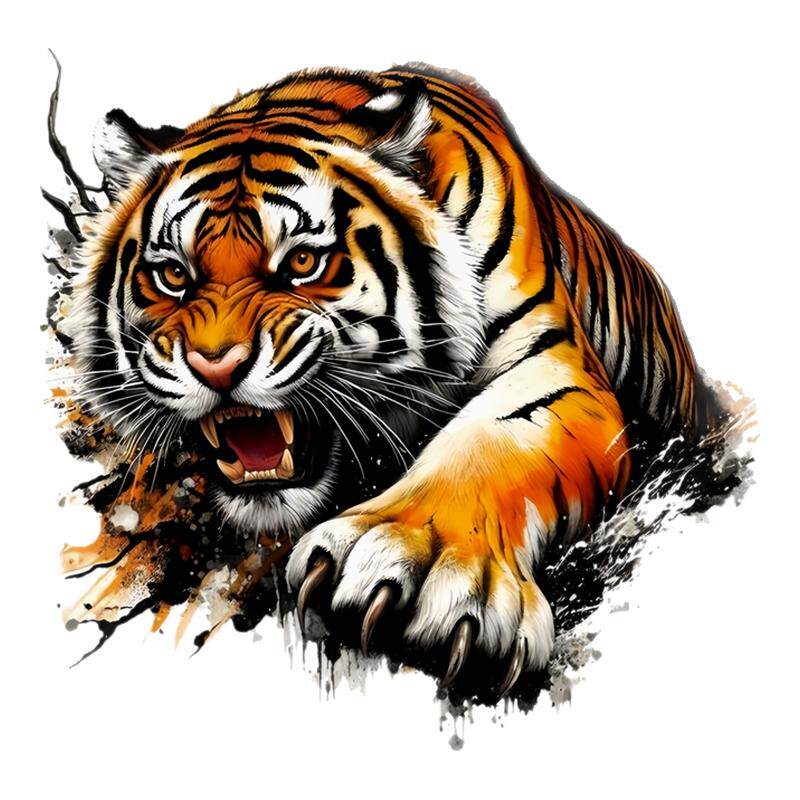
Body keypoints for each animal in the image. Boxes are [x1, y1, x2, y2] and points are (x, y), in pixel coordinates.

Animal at [66, 63, 709, 695]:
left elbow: (490, 441)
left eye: (303, 263)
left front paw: (424, 560)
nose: (215, 365)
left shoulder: (552, 363)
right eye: (173, 275)